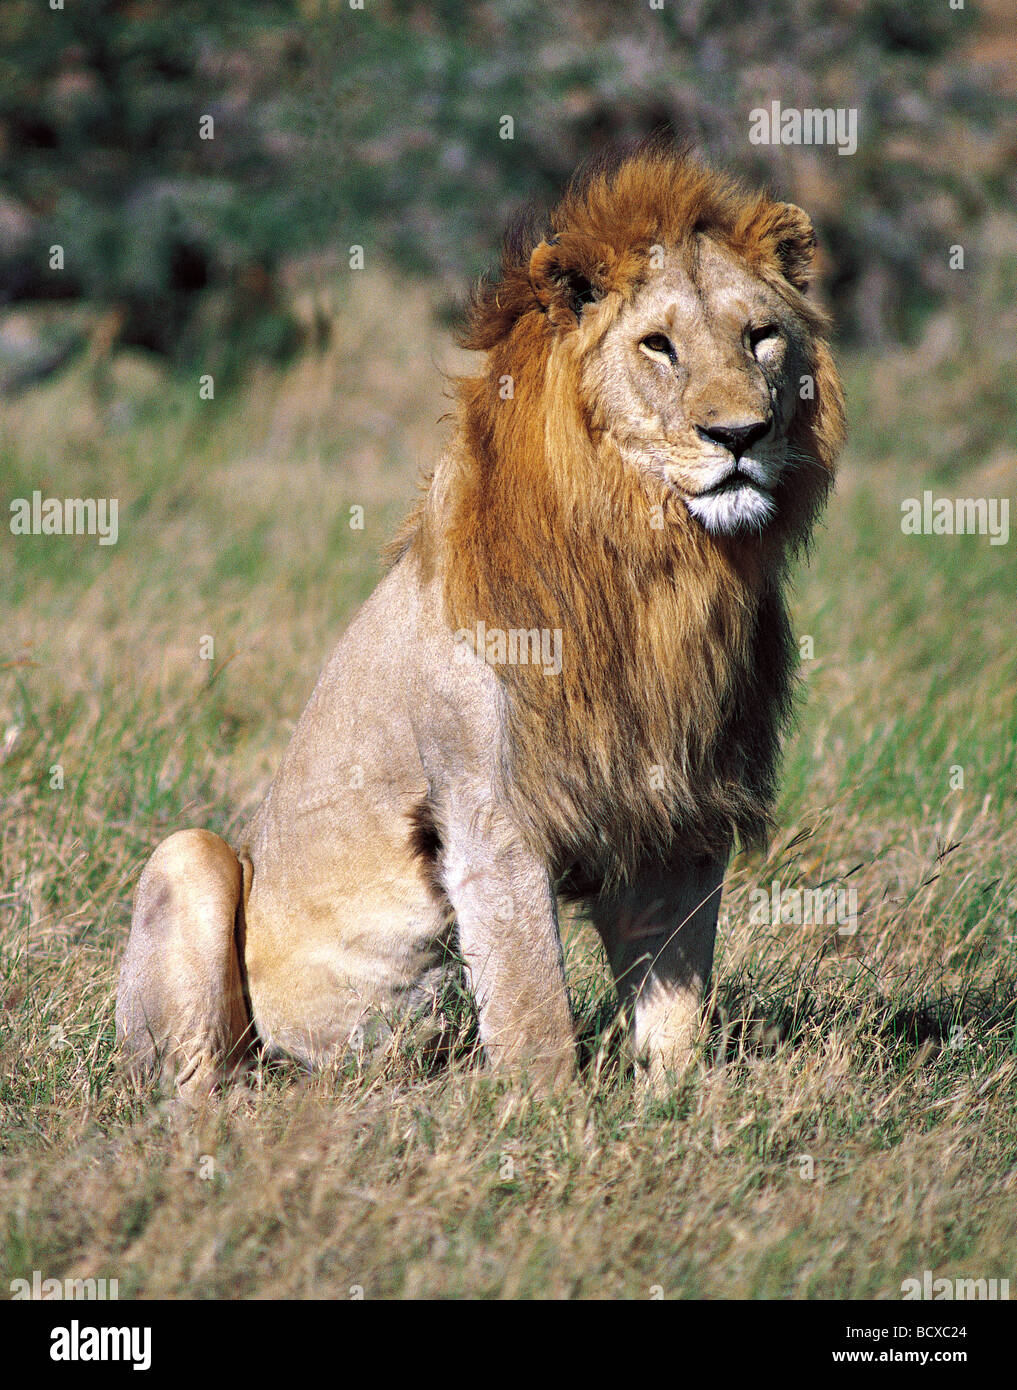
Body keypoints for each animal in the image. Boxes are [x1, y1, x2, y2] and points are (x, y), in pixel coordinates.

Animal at [117, 143, 850, 1095]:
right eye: (657, 345)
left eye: (760, 335)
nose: (740, 435)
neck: (657, 569)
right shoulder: (490, 815)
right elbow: (534, 1010)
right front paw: (547, 1117)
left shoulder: (678, 813)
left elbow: (677, 998)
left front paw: (678, 1101)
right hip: (193, 863)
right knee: (196, 1074)